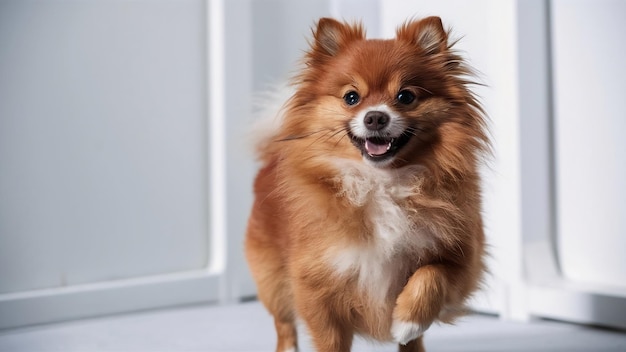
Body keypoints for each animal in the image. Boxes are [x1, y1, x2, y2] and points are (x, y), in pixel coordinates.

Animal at [244, 16, 488, 352]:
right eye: (351, 97)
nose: (375, 117)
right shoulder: (318, 288)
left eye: (405, 96)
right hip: (273, 280)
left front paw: (407, 320)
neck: (381, 181)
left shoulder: (461, 260)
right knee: (283, 323)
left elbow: (430, 276)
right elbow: (330, 341)